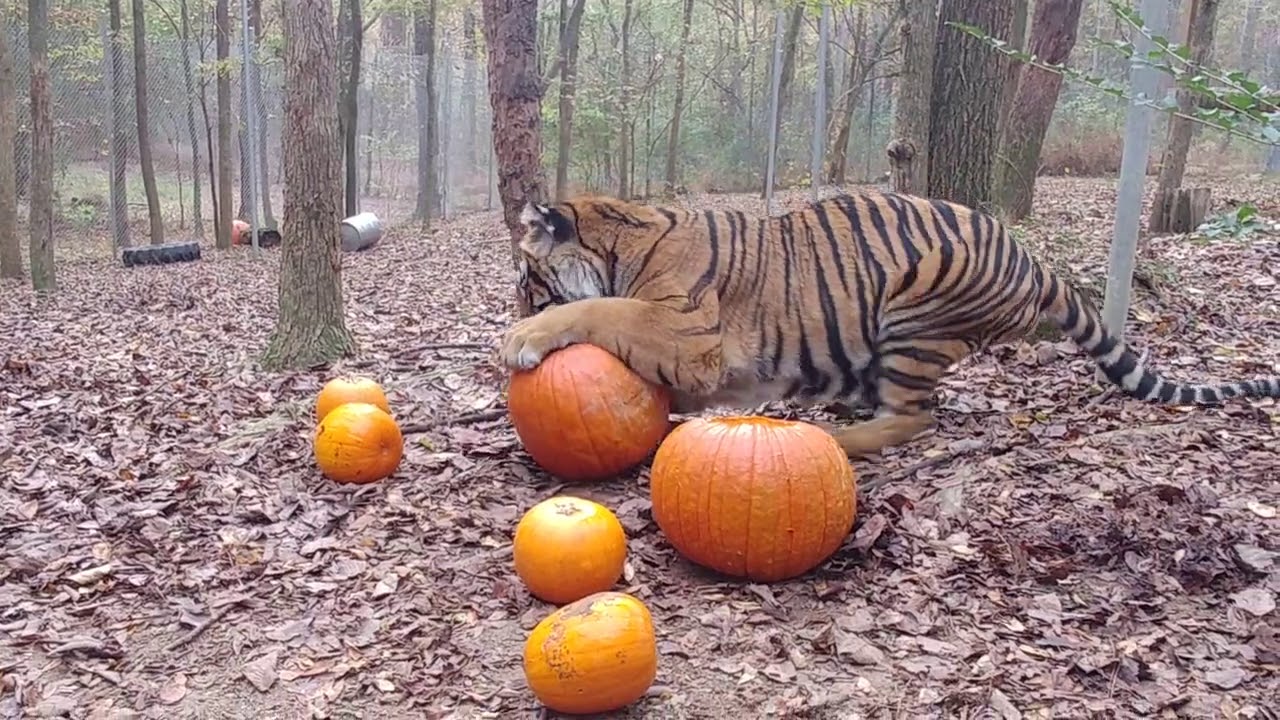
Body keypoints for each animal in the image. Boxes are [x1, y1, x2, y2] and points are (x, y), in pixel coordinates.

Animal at [498, 190, 1280, 459]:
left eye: (527, 285)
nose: (515, 313)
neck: (619, 239)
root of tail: (1035, 262)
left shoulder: (691, 334)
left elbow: (600, 309)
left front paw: (523, 340)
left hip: (914, 313)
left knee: (917, 418)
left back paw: (839, 439)